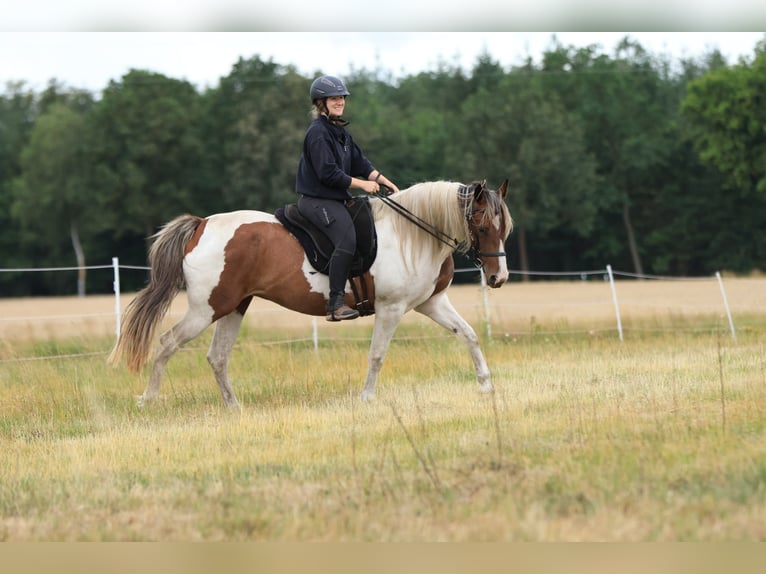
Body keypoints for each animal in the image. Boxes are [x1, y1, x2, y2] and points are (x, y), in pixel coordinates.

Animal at [108, 179, 513, 409]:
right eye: (481, 225)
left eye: (504, 227)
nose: (498, 278)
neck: (412, 232)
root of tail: (202, 225)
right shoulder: (392, 308)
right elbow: (377, 355)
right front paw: (367, 398)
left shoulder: (431, 302)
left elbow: (469, 335)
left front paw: (485, 386)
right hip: (205, 309)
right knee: (167, 342)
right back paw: (148, 400)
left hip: (234, 307)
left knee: (217, 357)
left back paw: (233, 407)